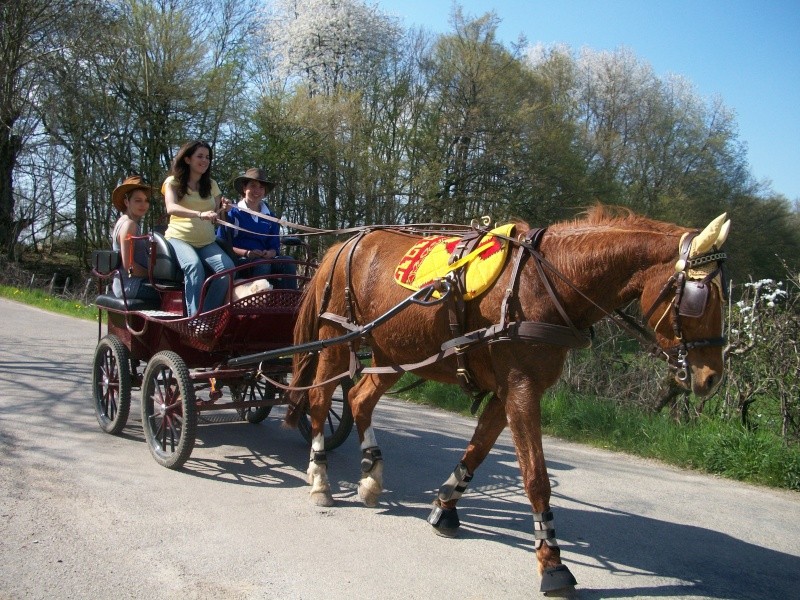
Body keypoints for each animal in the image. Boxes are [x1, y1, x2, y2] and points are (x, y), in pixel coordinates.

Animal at [284, 207, 728, 596]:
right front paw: (552, 563)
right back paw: (320, 477)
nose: (711, 378)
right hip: (336, 339)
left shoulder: (506, 392)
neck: (543, 282)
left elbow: (478, 450)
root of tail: (343, 244)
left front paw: (445, 506)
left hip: (393, 351)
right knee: (320, 400)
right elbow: (536, 478)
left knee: (359, 399)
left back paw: (371, 475)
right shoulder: (520, 389)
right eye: (700, 298)